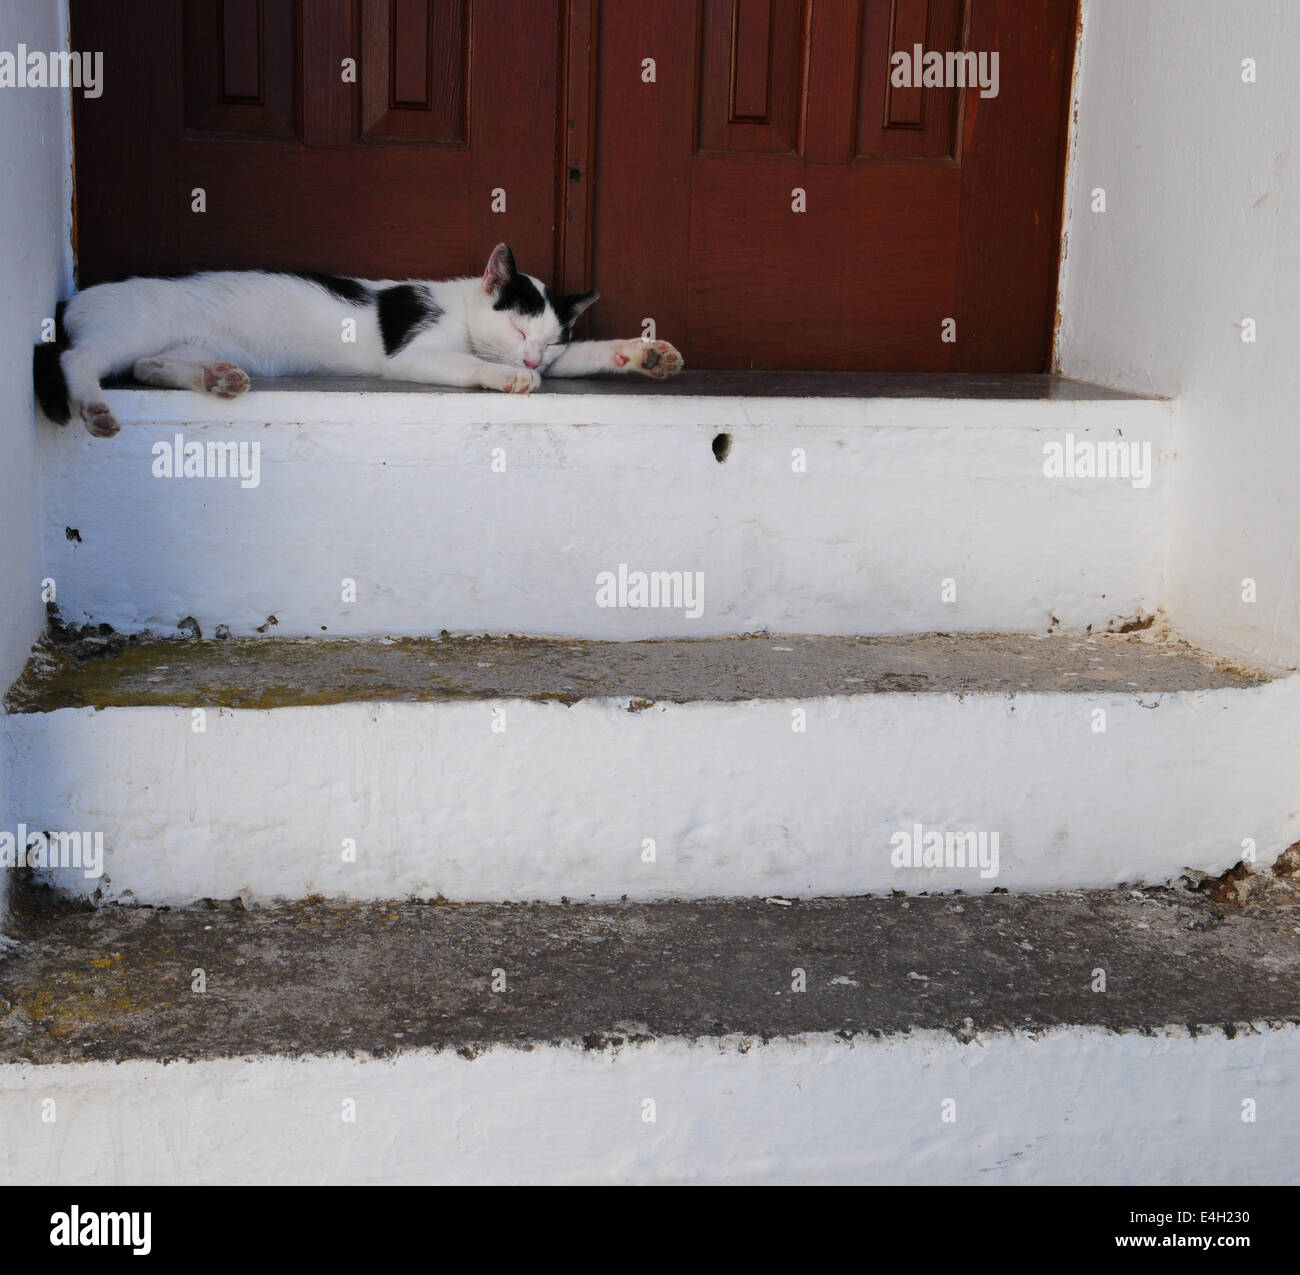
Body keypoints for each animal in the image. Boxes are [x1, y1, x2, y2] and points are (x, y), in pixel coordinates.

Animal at [32, 243, 681, 436]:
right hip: (126, 327)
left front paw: (644, 352)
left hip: (177, 345)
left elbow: (588, 356)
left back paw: (216, 377)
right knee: (78, 356)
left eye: (551, 342)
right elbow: (471, 364)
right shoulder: (414, 353)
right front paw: (508, 375)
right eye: (520, 327)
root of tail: (74, 297)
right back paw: (94, 407)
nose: (530, 357)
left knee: (148, 367)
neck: (457, 304)